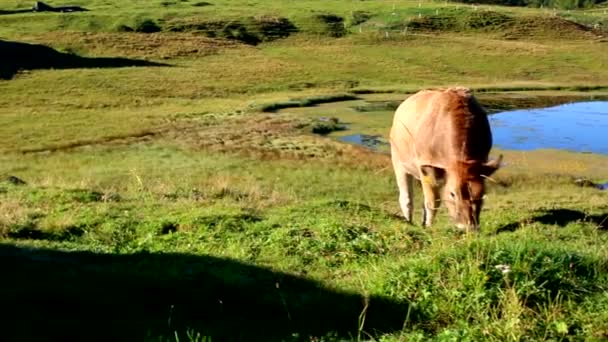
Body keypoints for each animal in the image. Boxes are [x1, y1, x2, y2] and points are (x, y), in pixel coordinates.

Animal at [390, 87, 504, 232]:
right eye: (452, 194)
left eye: (481, 193)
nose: (468, 227)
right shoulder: (425, 166)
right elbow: (432, 201)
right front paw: (429, 226)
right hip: (398, 161)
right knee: (406, 198)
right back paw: (408, 221)